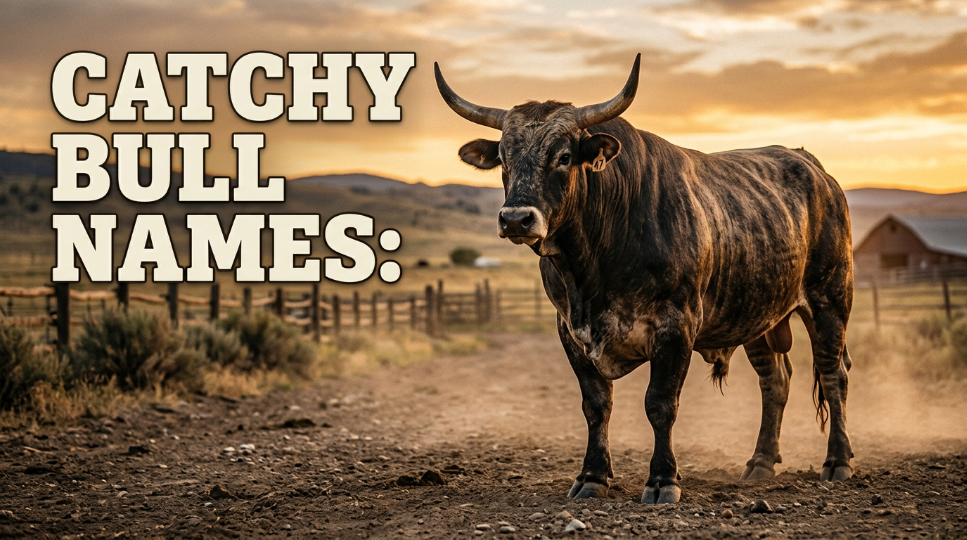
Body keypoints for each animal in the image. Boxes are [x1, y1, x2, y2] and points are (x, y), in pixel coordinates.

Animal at [435, 54, 855, 504]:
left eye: (563, 156)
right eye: (504, 157)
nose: (516, 219)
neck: (591, 268)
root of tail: (815, 170)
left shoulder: (676, 326)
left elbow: (660, 404)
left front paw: (662, 480)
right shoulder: (570, 331)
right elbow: (596, 405)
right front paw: (592, 476)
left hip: (830, 300)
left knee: (834, 374)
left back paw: (838, 461)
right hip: (757, 314)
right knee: (775, 380)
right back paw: (760, 463)